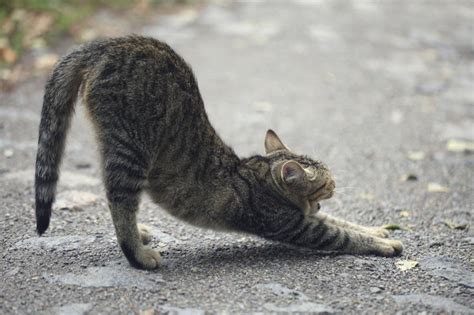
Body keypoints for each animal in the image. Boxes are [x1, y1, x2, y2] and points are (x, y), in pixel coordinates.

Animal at [35, 35, 402, 270]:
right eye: (326, 182)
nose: (335, 184)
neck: (259, 175)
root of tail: (102, 45)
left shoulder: (308, 215)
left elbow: (344, 222)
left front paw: (378, 230)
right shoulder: (293, 225)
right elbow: (341, 235)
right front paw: (382, 244)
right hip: (130, 151)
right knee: (119, 202)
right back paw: (138, 254)